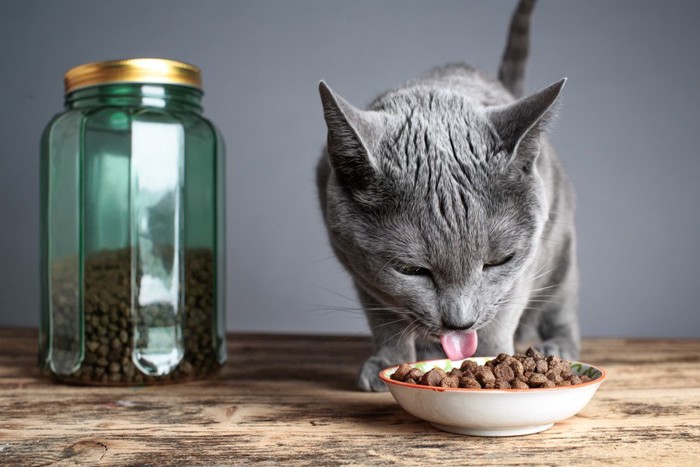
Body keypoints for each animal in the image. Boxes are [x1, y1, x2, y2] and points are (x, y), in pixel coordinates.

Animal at [314, 0, 576, 394]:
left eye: (499, 261)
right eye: (410, 270)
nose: (460, 323)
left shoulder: (523, 270)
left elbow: (501, 317)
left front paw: (495, 363)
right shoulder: (359, 267)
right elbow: (386, 321)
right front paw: (388, 364)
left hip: (561, 248)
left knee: (561, 304)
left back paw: (555, 345)